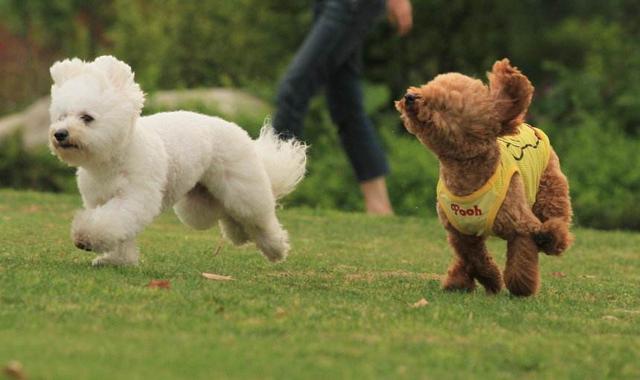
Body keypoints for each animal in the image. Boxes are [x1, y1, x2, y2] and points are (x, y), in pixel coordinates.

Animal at [48, 55, 308, 268]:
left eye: (87, 118)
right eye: (61, 117)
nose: (59, 134)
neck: (113, 157)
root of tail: (239, 132)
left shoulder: (135, 197)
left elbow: (111, 222)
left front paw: (86, 237)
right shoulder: (99, 200)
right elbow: (121, 234)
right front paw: (117, 260)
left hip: (242, 188)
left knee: (259, 218)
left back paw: (276, 248)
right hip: (198, 207)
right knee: (226, 215)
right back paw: (241, 234)